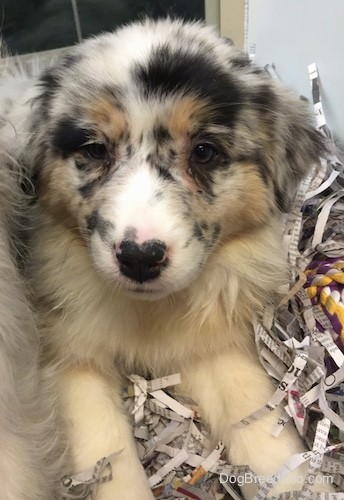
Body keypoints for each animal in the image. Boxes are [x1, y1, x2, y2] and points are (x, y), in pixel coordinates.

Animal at [3, 18, 330, 496]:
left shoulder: (213, 344)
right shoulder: (69, 360)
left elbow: (256, 415)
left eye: (205, 151)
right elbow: (109, 455)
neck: (150, 315)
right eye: (95, 149)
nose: (140, 257)